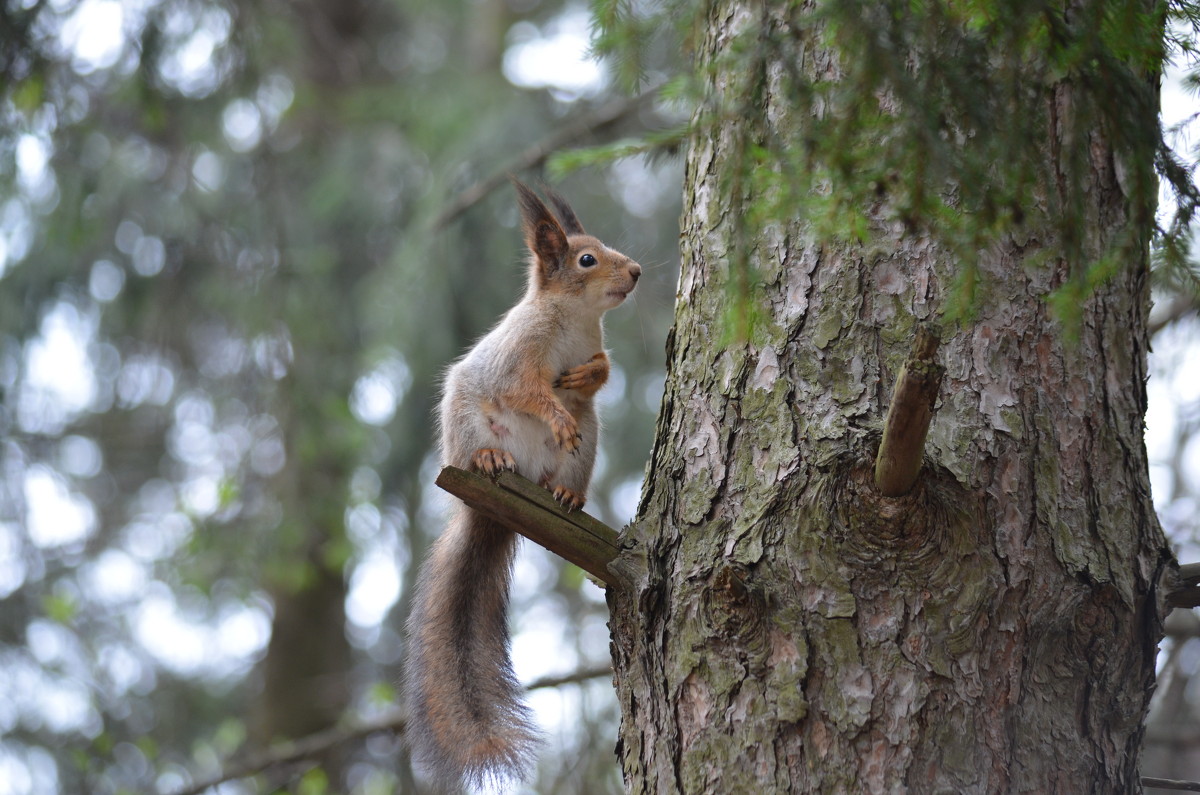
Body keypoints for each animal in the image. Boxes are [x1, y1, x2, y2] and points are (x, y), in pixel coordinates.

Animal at [403, 178, 643, 792]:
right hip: (466, 422)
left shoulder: (592, 352)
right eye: (586, 259)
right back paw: (491, 458)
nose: (635, 271)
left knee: (573, 456)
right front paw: (553, 414)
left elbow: (599, 373)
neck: (577, 318)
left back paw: (567, 494)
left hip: (587, 443)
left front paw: (588, 375)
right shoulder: (517, 358)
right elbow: (526, 389)